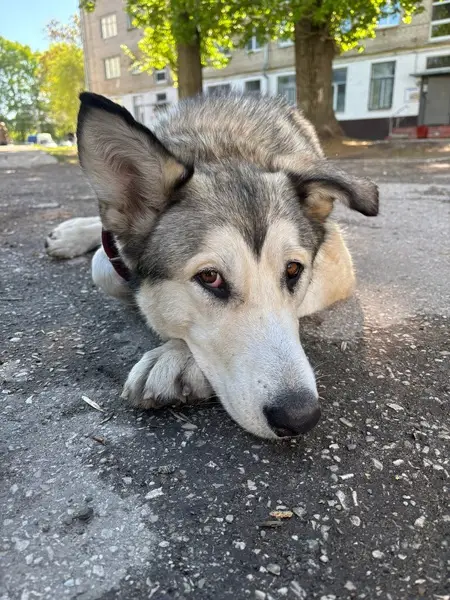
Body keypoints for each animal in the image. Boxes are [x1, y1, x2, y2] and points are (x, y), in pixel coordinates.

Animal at [45, 92, 378, 439]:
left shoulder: (338, 263)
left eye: (293, 270)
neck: (221, 148)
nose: (299, 417)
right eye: (210, 277)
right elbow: (104, 265)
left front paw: (179, 358)